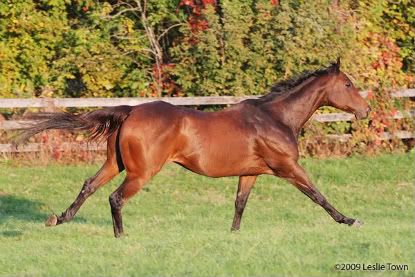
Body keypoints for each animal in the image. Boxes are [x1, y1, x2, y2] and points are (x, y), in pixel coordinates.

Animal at [18, 59, 370, 236]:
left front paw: (233, 235)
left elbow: (240, 204)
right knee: (115, 198)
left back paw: (59, 219)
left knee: (89, 185)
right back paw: (120, 236)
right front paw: (350, 220)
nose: (365, 110)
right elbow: (318, 195)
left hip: (115, 163)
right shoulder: (287, 167)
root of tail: (130, 111)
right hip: (141, 172)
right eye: (348, 84)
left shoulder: (250, 173)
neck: (275, 117)